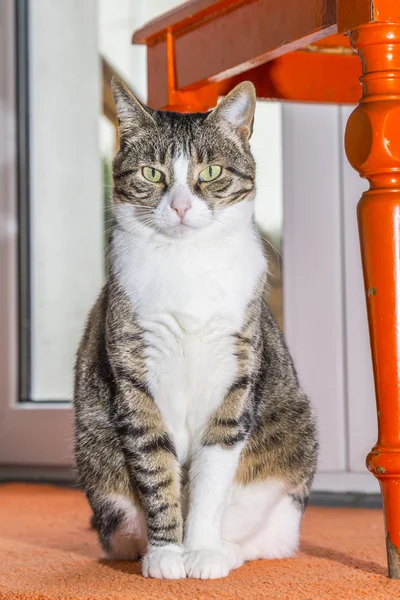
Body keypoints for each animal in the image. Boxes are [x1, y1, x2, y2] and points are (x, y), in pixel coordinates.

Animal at [74, 77, 318, 580]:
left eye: (210, 172)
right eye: (151, 174)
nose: (182, 206)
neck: (186, 263)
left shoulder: (234, 379)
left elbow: (211, 478)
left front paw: (201, 550)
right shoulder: (134, 380)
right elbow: (156, 470)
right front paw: (167, 555)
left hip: (293, 456)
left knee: (270, 539)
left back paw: (228, 550)